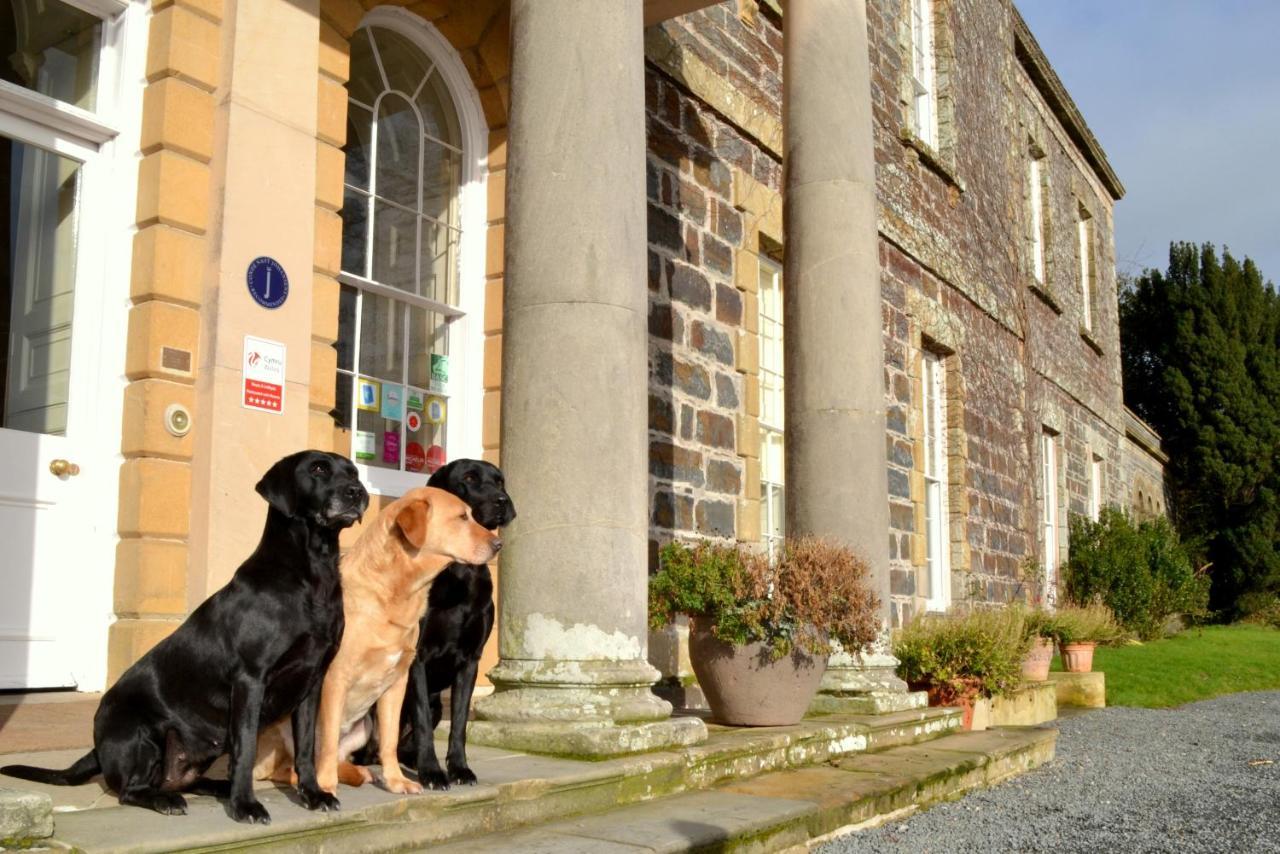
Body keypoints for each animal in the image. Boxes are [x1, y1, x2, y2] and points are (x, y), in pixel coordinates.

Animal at [2, 450, 368, 824]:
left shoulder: (312, 681)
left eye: (353, 472)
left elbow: (307, 746)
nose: (357, 492)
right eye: (318, 469)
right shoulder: (250, 678)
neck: (313, 572)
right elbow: (247, 747)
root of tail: (98, 746)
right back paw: (171, 800)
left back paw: (218, 788)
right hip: (140, 731)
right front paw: (245, 805)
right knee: (131, 791)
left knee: (183, 781)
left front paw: (313, 794)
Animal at [404, 460, 514, 788]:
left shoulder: (470, 660)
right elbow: (421, 720)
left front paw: (460, 769)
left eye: (500, 481)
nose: (503, 501)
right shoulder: (416, 656)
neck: (460, 574)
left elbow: (461, 722)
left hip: (439, 703)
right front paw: (431, 771)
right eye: (468, 478)